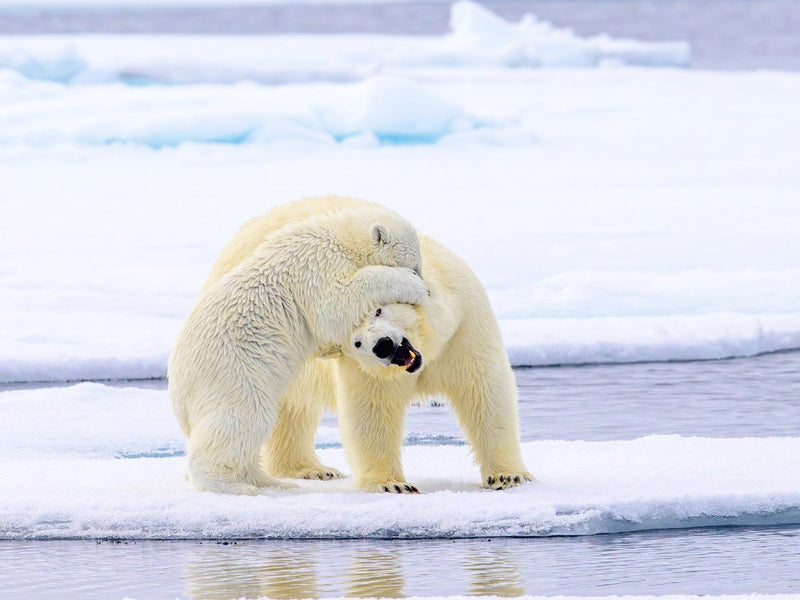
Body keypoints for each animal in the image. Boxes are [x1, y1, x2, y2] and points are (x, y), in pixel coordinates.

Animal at [168, 201, 429, 495]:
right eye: (415, 265)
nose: (422, 277)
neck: (340, 237)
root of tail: (177, 392)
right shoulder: (317, 268)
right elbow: (337, 303)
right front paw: (413, 286)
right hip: (231, 375)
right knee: (242, 421)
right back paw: (235, 486)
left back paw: (274, 483)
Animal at [205, 196, 533, 492]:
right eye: (354, 340)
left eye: (379, 310)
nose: (383, 345)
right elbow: (372, 407)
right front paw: (391, 484)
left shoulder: (464, 327)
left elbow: (483, 388)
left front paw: (508, 476)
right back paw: (305, 469)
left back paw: (311, 469)